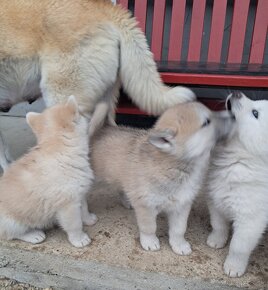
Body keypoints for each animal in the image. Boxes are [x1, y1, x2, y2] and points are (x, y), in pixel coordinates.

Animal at [0, 96, 96, 248]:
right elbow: (75, 224)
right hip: (12, 222)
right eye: (80, 113)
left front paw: (88, 219)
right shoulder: (68, 205)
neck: (59, 149)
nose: (87, 114)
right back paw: (33, 235)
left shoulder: (79, 192)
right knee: (10, 234)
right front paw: (79, 239)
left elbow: (84, 208)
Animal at [207, 92, 268, 276]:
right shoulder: (216, 200)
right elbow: (218, 225)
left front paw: (234, 267)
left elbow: (238, 246)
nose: (237, 93)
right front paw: (216, 241)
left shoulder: (250, 219)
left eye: (255, 113)